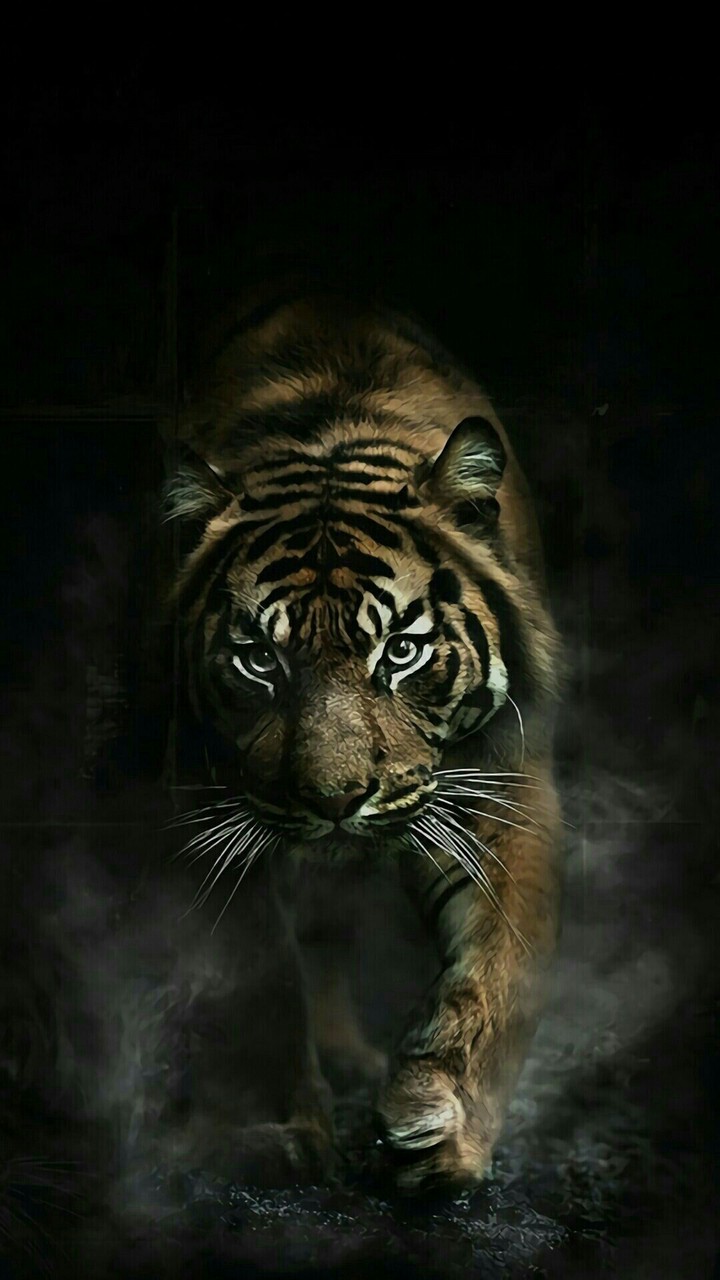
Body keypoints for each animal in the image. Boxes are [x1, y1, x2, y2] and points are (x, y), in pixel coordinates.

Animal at [160, 279, 564, 1194]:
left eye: (401, 651)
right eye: (260, 660)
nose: (336, 799)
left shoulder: (504, 781)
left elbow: (501, 964)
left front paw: (441, 1127)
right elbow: (263, 976)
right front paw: (287, 1131)